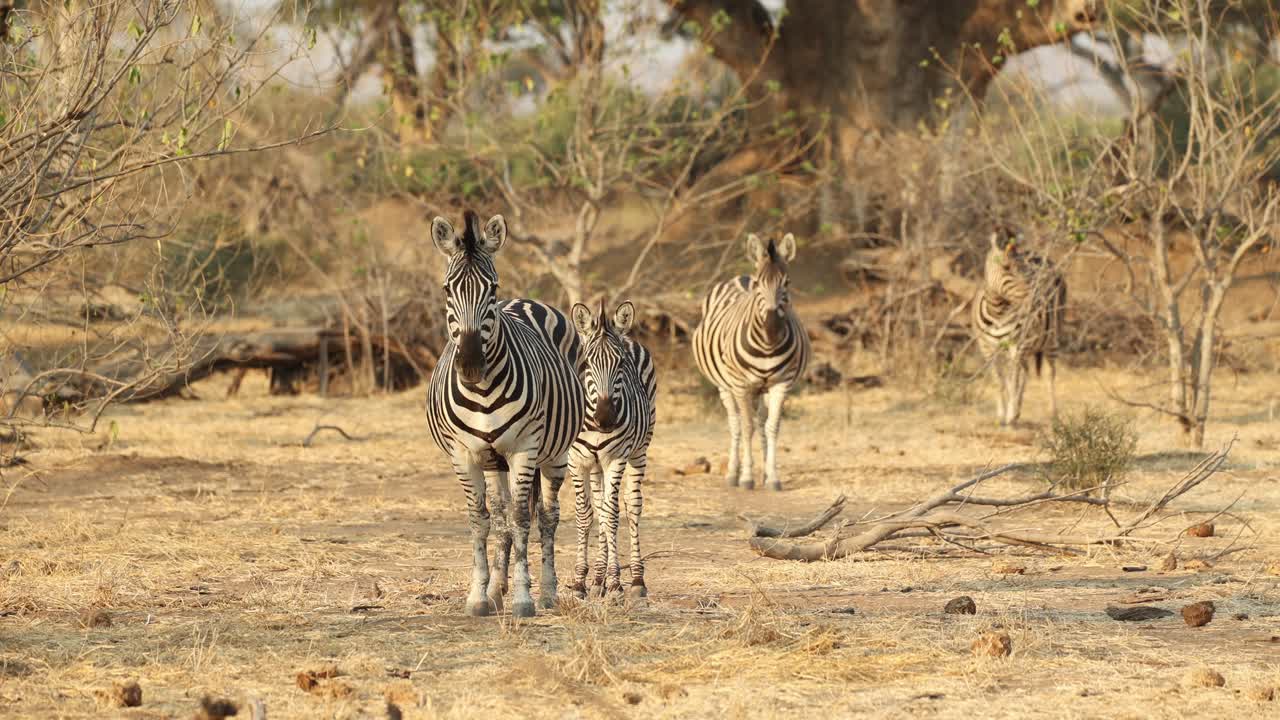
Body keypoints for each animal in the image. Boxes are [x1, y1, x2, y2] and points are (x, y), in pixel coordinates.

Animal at [425, 210, 585, 618]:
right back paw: (498, 589)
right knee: (500, 517)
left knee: (546, 516)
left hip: (555, 454)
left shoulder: (524, 449)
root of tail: (527, 301)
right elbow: (482, 520)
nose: (470, 366)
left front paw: (524, 599)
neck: (482, 392)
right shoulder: (464, 454)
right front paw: (480, 595)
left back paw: (547, 592)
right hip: (494, 460)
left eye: (492, 290)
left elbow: (522, 519)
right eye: (447, 290)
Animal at [566, 299, 657, 603]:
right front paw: (581, 581)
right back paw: (597, 578)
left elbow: (612, 515)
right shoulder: (576, 461)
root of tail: (626, 335)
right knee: (600, 506)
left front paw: (616, 583)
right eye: (586, 364)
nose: (606, 419)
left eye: (621, 364)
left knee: (631, 506)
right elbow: (586, 515)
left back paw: (636, 580)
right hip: (595, 465)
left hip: (639, 450)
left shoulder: (616, 459)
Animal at [692, 233, 810, 491]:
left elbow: (772, 427)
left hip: (762, 390)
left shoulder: (780, 385)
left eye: (787, 282)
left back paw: (764, 472)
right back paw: (732, 474)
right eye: (758, 284)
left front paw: (772, 477)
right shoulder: (741, 385)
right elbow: (746, 428)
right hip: (725, 387)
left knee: (761, 423)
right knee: (736, 424)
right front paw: (746, 477)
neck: (767, 346)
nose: (772, 327)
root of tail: (740, 276)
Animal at [970, 230, 1067, 426]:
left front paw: (1009, 415)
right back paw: (1018, 411)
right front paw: (1003, 415)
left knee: (1049, 374)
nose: (1034, 296)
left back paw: (1053, 415)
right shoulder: (987, 348)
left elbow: (1013, 380)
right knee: (1026, 371)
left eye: (1024, 269)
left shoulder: (1017, 345)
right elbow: (999, 380)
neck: (998, 311)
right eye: (1006, 267)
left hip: (1051, 337)